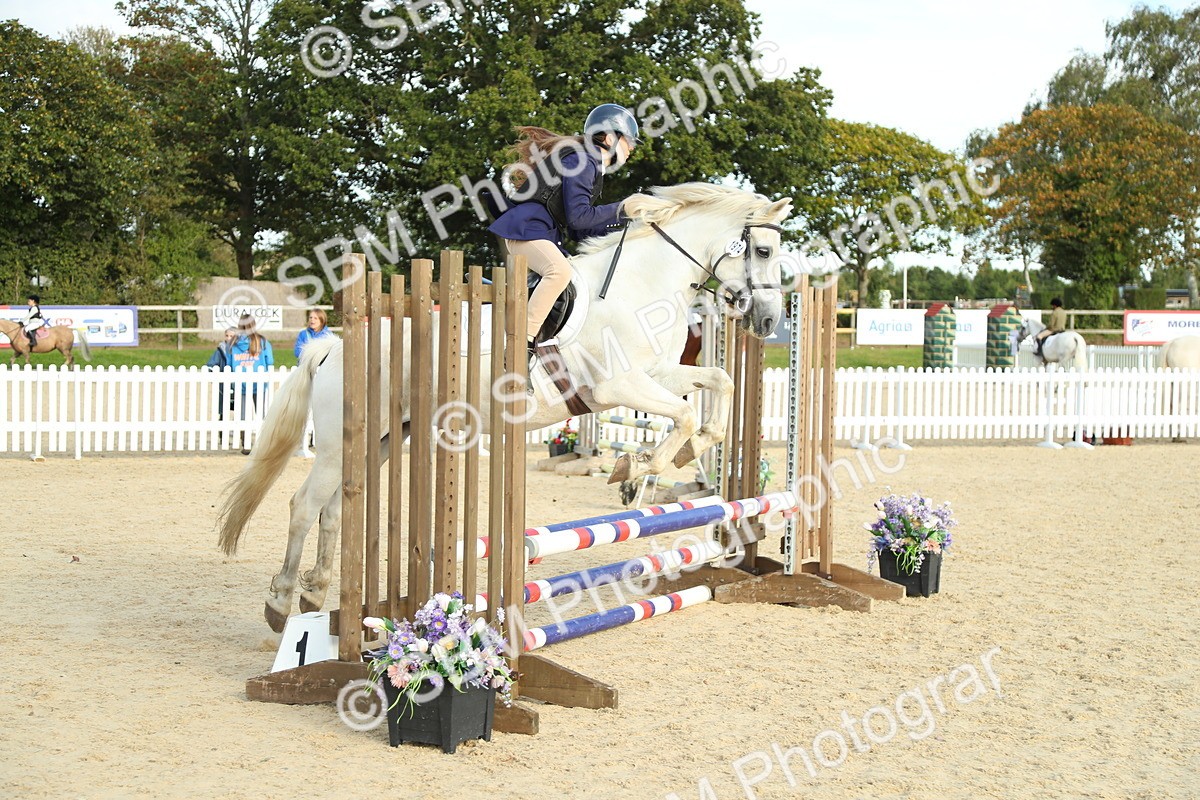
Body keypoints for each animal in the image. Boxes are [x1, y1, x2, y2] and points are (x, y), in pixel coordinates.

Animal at [216, 182, 792, 631]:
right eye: (762, 252)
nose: (767, 321)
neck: (640, 285)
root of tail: (332, 346)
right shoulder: (618, 387)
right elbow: (686, 412)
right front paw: (636, 471)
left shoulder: (655, 376)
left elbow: (717, 385)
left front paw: (665, 462)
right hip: (343, 440)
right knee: (303, 505)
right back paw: (281, 603)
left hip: (383, 439)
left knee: (335, 508)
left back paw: (316, 593)